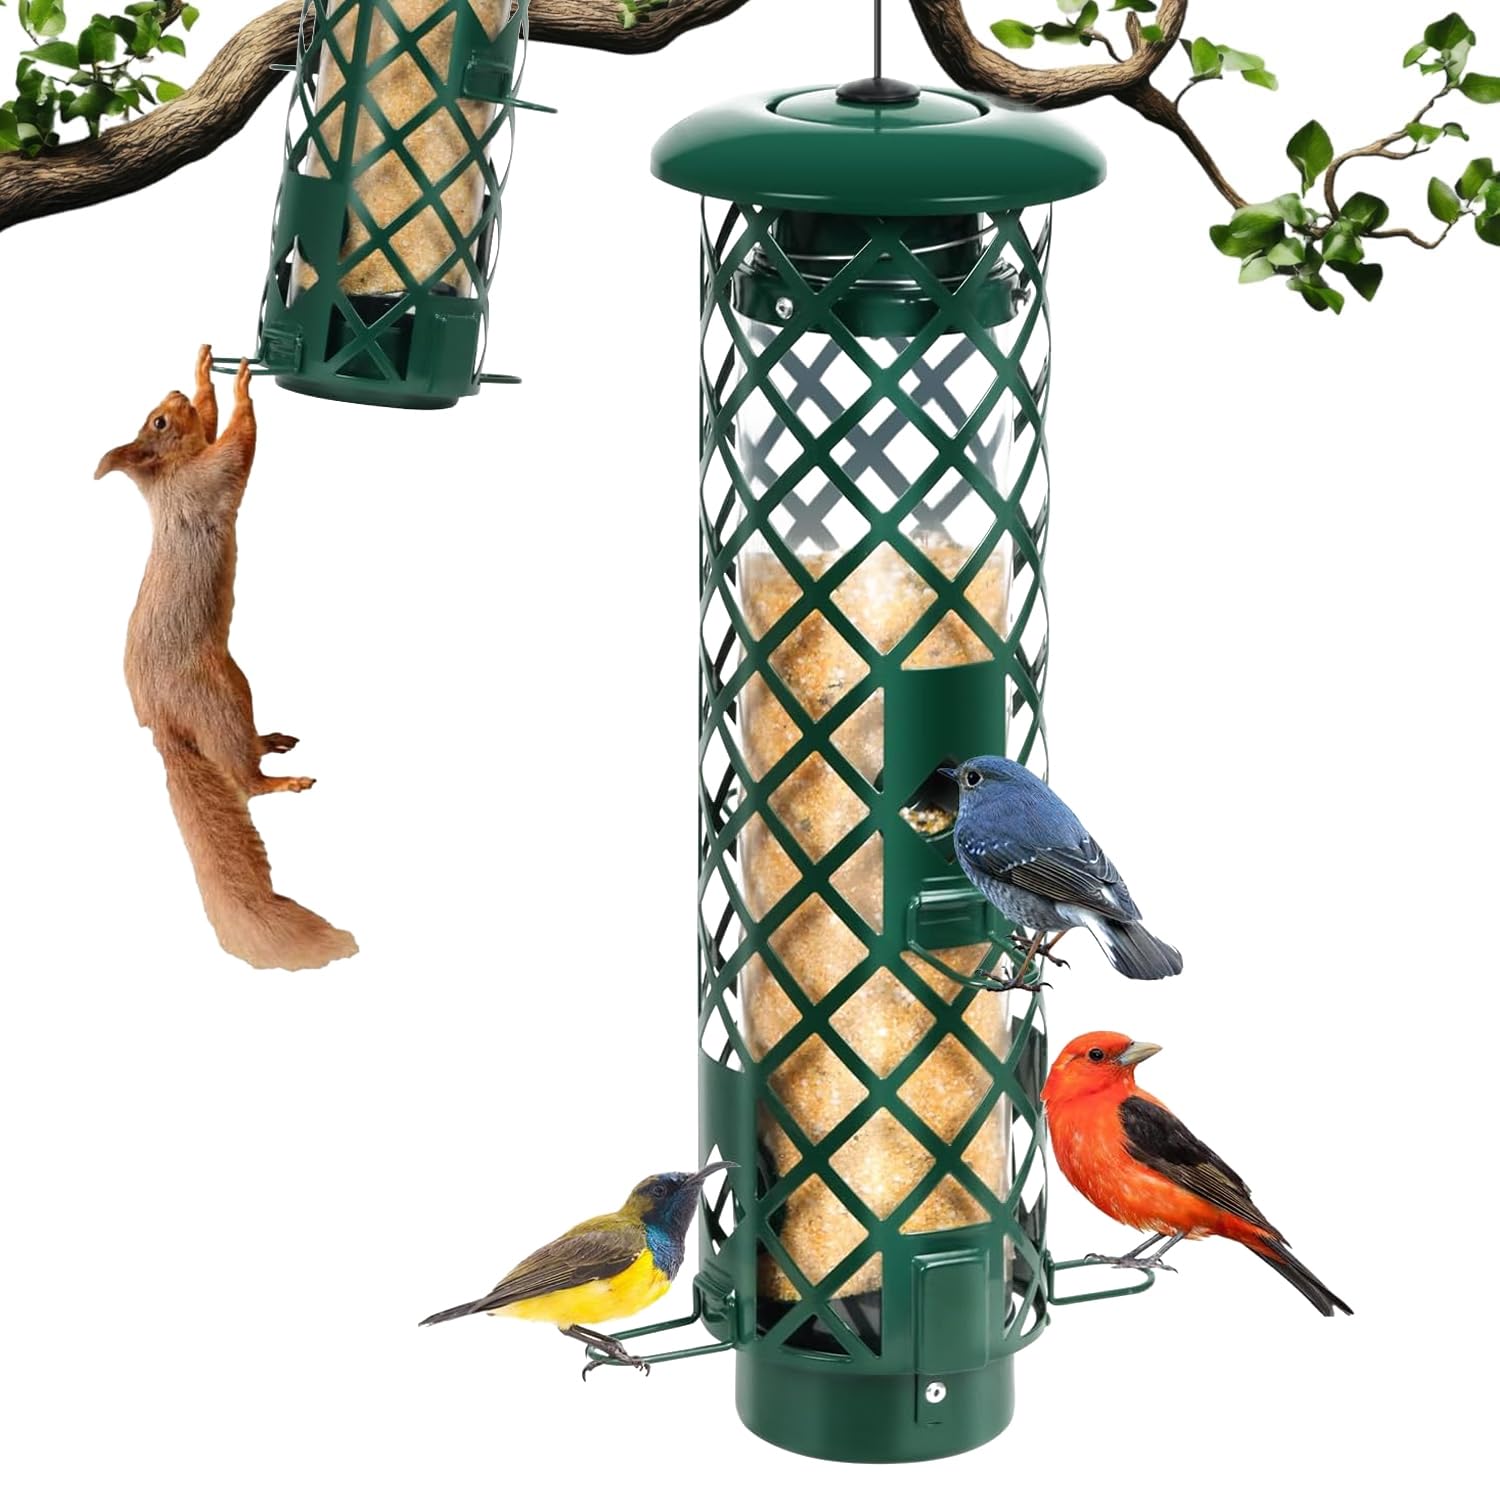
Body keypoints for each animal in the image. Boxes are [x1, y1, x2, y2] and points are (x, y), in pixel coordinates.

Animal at [95, 347, 357, 972]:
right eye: (158, 423)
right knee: (245, 783)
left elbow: (215, 426)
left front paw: (203, 370)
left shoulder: (201, 464)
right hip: (216, 695)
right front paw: (241, 387)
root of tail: (163, 725)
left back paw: (271, 742)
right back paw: (284, 781)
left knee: (244, 754)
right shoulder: (208, 478)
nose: (171, 395)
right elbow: (239, 442)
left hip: (234, 691)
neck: (169, 475)